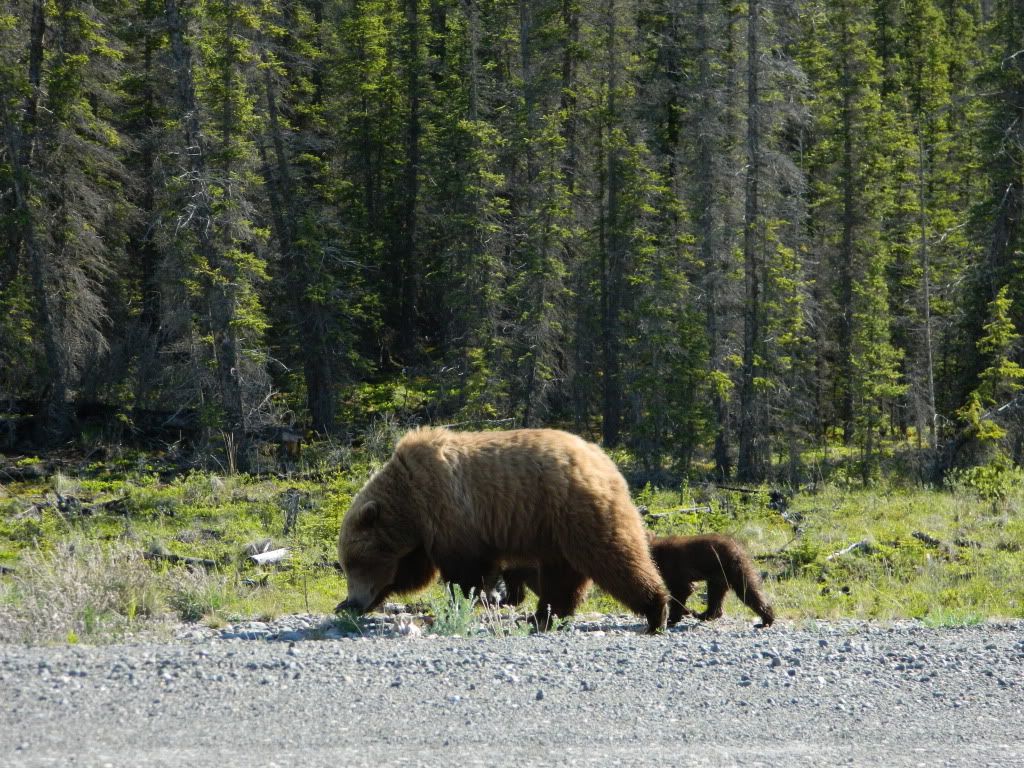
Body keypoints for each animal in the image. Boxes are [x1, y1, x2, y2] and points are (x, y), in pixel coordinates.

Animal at [336, 427, 669, 633]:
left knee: (612, 556)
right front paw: (346, 605)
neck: (407, 502)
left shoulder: (449, 514)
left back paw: (656, 611)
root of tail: (603, 459)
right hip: (553, 529)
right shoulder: (422, 535)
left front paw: (460, 604)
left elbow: (464, 573)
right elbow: (410, 572)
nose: (355, 600)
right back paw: (542, 616)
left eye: (355, 562)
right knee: (563, 573)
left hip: (575, 509)